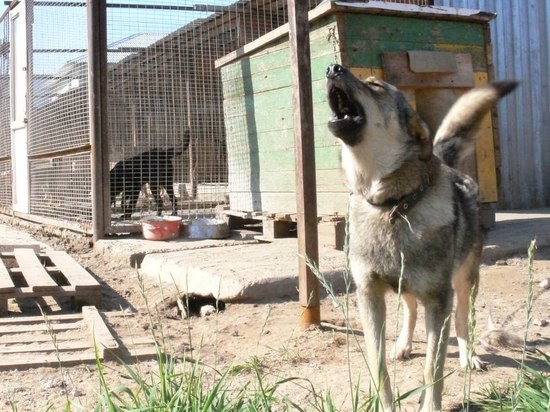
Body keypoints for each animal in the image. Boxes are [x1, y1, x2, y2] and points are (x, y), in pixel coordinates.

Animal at [326, 62, 520, 410]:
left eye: (375, 86)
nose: (332, 67)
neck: (391, 205)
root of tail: (445, 163)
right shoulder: (369, 295)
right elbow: (378, 365)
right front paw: (385, 403)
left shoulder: (438, 299)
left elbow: (433, 366)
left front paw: (431, 403)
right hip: (406, 286)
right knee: (409, 310)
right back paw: (403, 344)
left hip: (464, 281)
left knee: (461, 320)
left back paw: (469, 357)